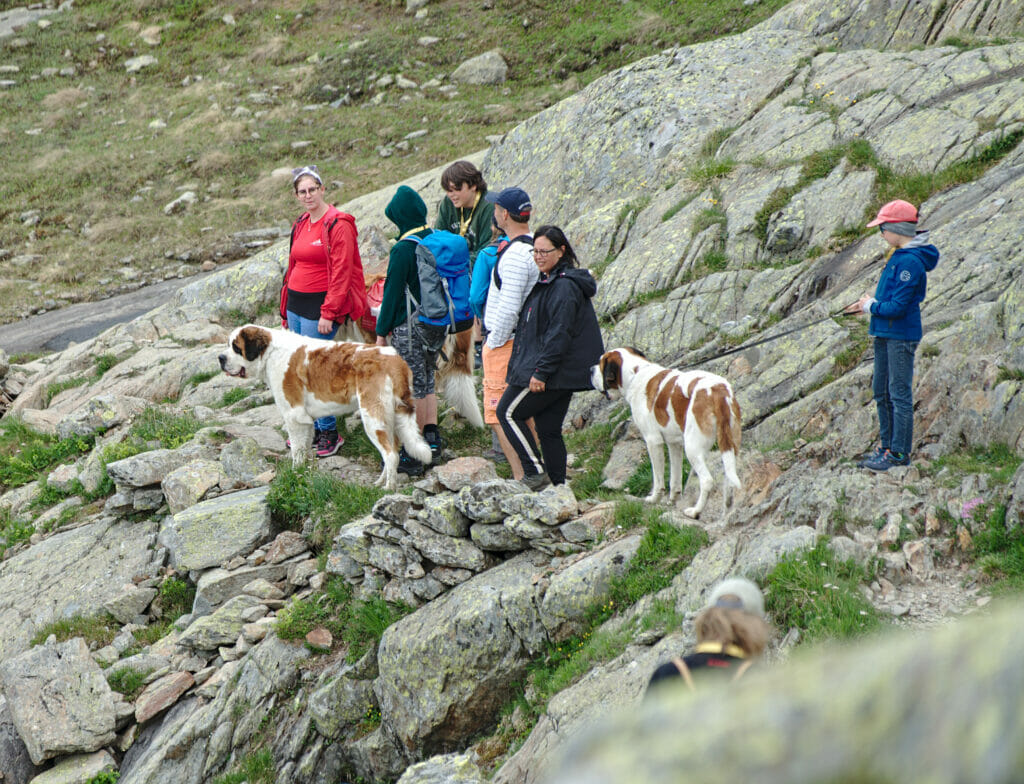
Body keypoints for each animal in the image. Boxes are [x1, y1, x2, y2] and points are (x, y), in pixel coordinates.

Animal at [220, 325, 432, 491]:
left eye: (236, 347)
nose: (220, 358)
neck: (271, 353)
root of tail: (396, 360)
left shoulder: (293, 417)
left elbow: (296, 450)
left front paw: (294, 472)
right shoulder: (305, 422)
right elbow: (304, 449)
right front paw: (303, 473)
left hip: (373, 419)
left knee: (391, 455)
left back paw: (389, 488)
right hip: (392, 419)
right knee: (392, 451)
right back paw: (380, 482)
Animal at [593, 350, 745, 521]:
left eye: (600, 364)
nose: (591, 370)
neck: (635, 373)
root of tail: (718, 391)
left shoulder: (653, 442)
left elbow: (658, 478)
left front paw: (654, 499)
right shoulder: (674, 445)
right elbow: (675, 476)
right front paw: (673, 498)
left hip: (692, 449)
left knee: (707, 481)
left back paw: (695, 511)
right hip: (730, 445)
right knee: (730, 479)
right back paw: (727, 512)